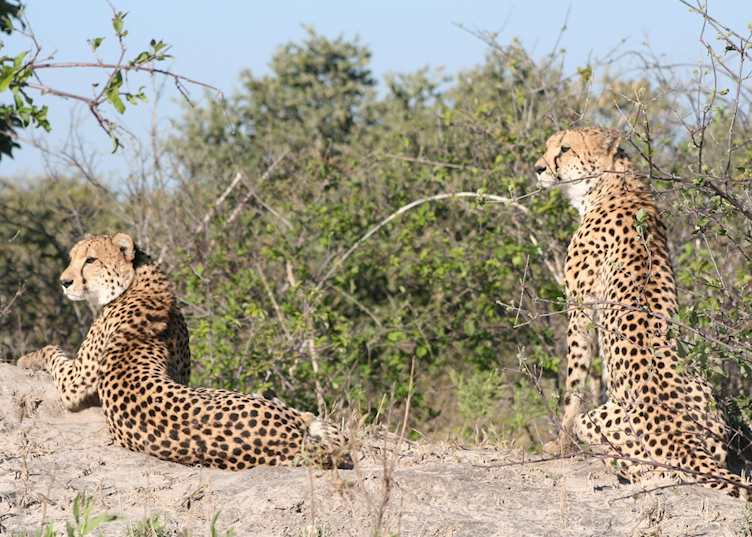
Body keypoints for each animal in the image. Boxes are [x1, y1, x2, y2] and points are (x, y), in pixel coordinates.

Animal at [17, 233, 350, 470]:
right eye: (73, 258)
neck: (138, 282)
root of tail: (289, 440)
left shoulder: (74, 384)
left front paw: (26, 357)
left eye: (90, 260)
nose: (64, 282)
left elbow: (52, 352)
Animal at [534, 127, 748, 499]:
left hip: (599, 423)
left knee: (648, 470)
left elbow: (573, 385)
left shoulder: (580, 306)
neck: (613, 183)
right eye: (549, 146)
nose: (538, 168)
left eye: (564, 148)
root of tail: (681, 438)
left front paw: (558, 444)